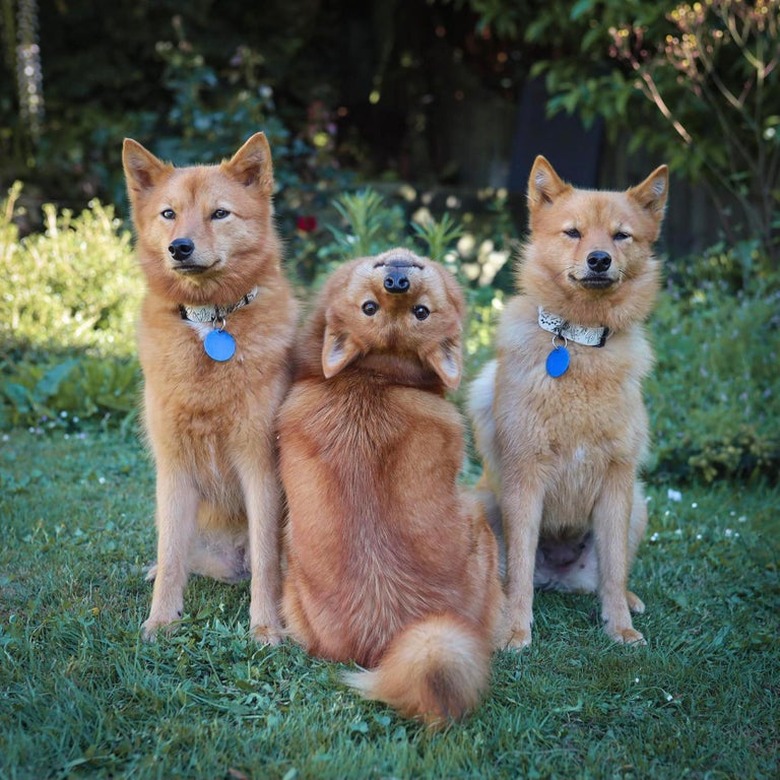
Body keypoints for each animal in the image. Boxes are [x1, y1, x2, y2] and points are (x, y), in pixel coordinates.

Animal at [123, 134, 298, 644]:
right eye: (168, 213)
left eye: (220, 213)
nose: (180, 247)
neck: (211, 324)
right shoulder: (174, 468)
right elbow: (171, 556)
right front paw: (161, 620)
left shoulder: (260, 466)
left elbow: (267, 562)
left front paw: (266, 628)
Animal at [470, 155, 672, 648]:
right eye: (573, 232)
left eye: (621, 235)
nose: (599, 260)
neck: (578, 343)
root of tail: (557, 578)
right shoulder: (525, 479)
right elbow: (520, 570)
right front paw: (515, 630)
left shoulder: (618, 481)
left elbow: (614, 571)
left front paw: (620, 627)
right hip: (480, 506)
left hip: (638, 503)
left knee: (609, 575)